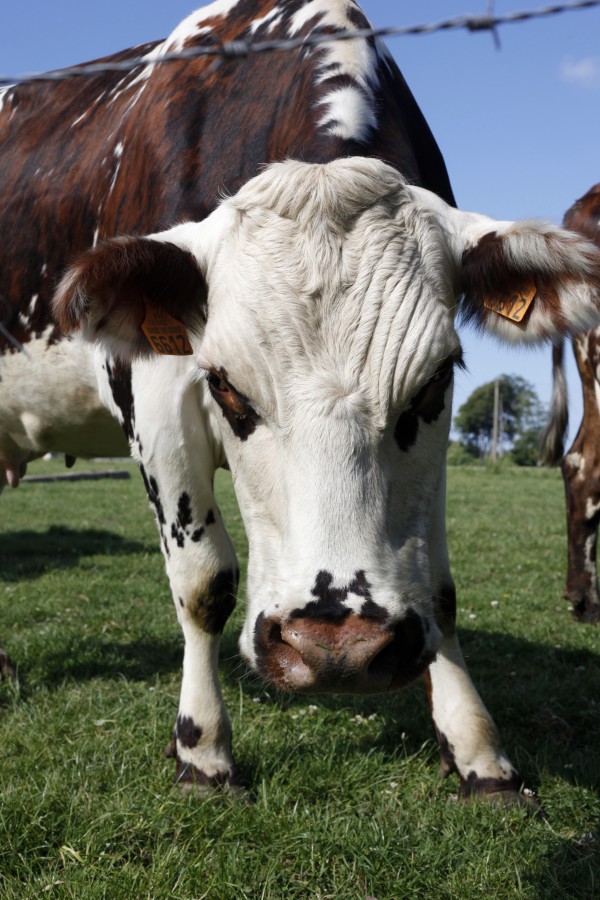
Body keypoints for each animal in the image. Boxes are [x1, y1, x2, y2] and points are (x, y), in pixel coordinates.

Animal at [3, 1, 600, 803]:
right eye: (226, 385)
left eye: (436, 380)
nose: (336, 646)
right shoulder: (154, 395)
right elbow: (203, 583)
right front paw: (203, 750)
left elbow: (438, 587)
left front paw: (478, 749)